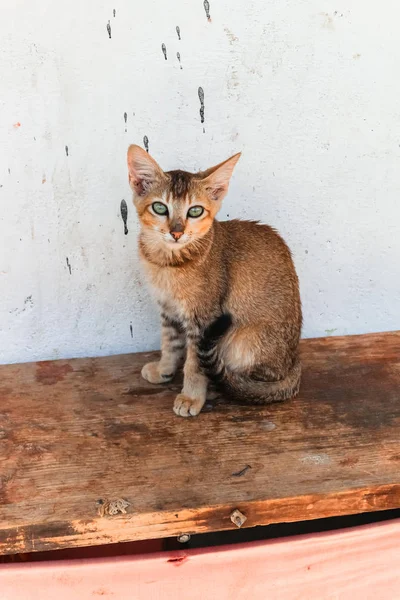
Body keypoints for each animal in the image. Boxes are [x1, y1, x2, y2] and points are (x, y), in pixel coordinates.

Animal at [126, 145, 302, 418]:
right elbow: (169, 343)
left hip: (243, 340)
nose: (176, 232)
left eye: (195, 211)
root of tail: (294, 363)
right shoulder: (168, 309)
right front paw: (164, 370)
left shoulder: (203, 318)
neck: (167, 263)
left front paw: (191, 397)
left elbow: (195, 363)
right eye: (160, 208)